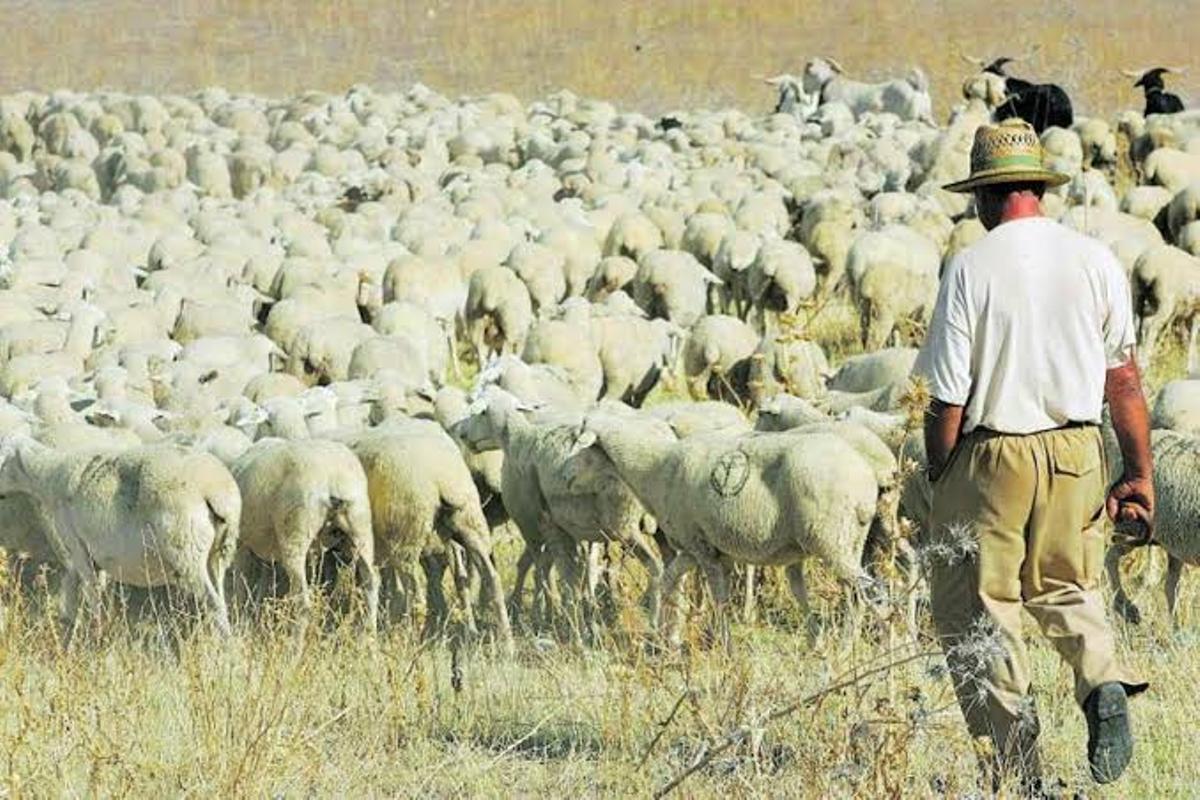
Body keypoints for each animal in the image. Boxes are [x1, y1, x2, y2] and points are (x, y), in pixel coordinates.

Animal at [0, 436, 240, 641]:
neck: (49, 475)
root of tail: (216, 491)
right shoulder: (92, 556)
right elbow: (75, 595)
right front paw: (70, 634)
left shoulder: (77, 545)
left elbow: (92, 594)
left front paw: (97, 639)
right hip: (219, 554)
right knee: (221, 600)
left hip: (186, 550)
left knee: (214, 604)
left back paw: (225, 649)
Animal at [230, 437, 379, 629]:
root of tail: (333, 478)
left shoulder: (241, 544)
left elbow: (240, 583)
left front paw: (239, 622)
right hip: (360, 525)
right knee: (371, 581)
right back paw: (369, 633)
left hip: (295, 533)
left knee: (303, 602)